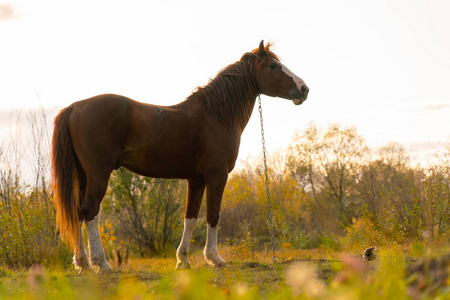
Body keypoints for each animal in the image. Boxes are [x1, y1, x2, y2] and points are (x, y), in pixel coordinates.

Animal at [50, 39, 310, 272]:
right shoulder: (217, 177)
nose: (304, 89)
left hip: (83, 175)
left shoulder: (196, 181)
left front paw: (183, 260)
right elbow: (213, 216)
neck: (216, 115)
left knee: (77, 213)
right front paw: (215, 259)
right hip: (98, 174)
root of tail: (74, 107)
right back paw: (101, 264)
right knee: (90, 211)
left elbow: (190, 219)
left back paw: (83, 264)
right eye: (273, 66)